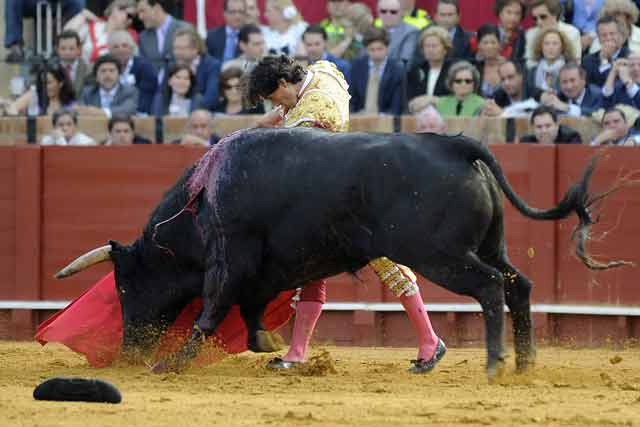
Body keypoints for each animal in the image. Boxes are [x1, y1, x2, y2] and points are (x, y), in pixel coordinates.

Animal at [57, 127, 628, 378]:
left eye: (124, 284)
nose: (130, 349)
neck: (203, 198)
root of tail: (456, 144)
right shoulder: (268, 266)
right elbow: (250, 304)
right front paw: (268, 346)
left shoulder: (230, 255)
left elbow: (215, 305)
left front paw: (172, 362)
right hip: (490, 244)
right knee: (519, 284)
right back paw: (524, 363)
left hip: (442, 254)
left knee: (489, 287)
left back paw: (492, 363)